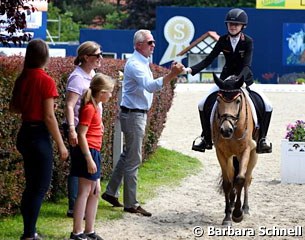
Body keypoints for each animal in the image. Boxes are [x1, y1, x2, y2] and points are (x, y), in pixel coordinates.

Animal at [211, 72, 256, 226]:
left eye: (237, 101)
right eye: (218, 100)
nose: (226, 130)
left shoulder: (246, 151)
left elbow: (240, 179)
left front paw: (237, 214)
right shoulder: (221, 153)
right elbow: (227, 183)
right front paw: (227, 216)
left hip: (254, 155)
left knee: (247, 178)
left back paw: (245, 208)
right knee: (232, 179)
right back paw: (231, 204)